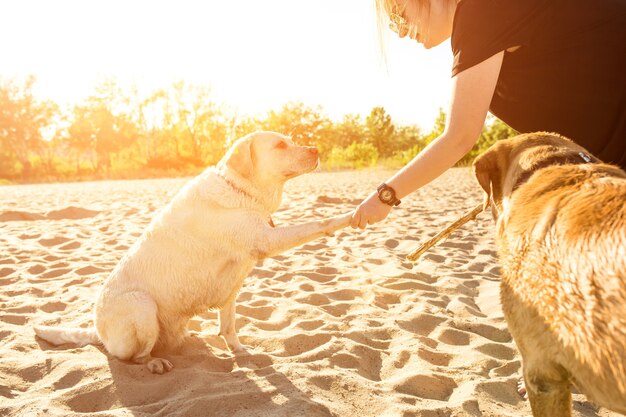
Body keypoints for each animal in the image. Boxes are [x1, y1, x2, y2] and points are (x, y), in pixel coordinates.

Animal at [34, 132, 352, 372]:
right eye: (280, 145)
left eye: (291, 140)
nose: (316, 149)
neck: (241, 189)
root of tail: (97, 332)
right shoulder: (266, 240)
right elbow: (318, 224)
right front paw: (351, 215)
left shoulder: (233, 283)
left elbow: (229, 325)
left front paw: (240, 351)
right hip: (142, 305)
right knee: (132, 357)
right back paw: (154, 363)